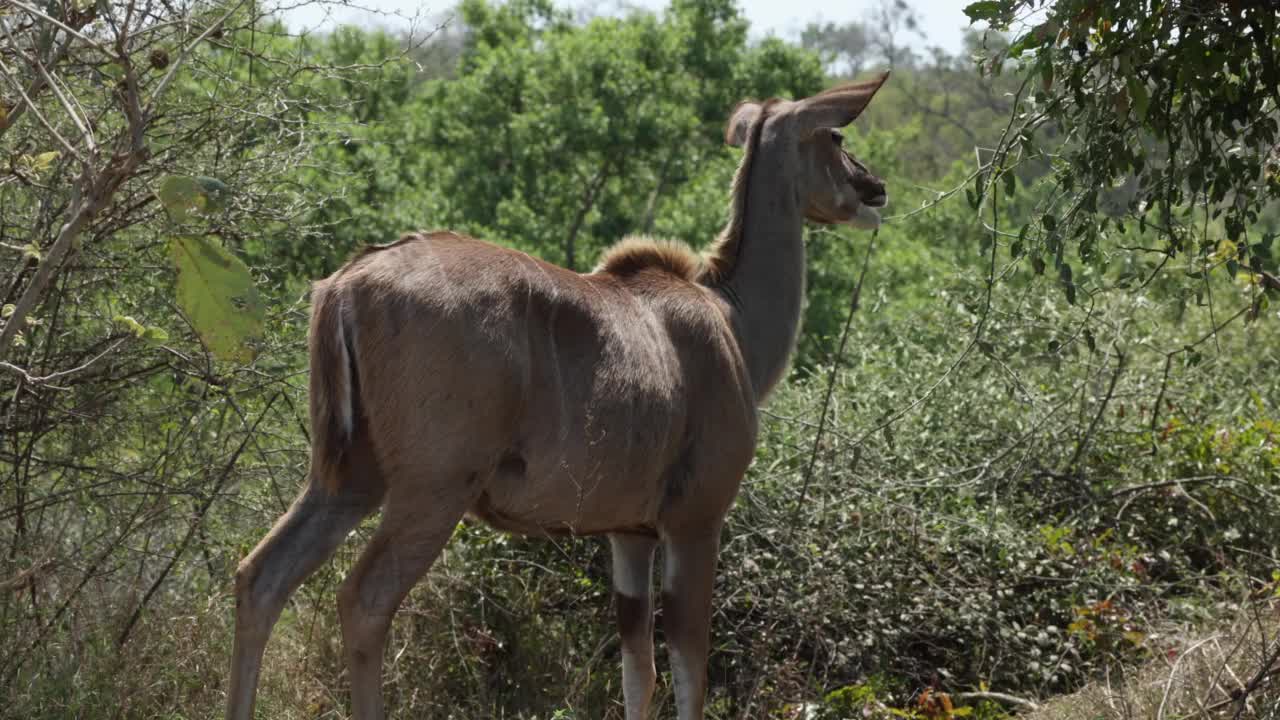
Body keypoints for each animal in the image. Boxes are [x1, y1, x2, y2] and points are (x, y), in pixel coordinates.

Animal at [227, 74, 890, 717]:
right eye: (835, 135)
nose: (875, 189)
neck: (732, 319)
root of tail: (346, 284)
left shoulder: (630, 535)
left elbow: (638, 673)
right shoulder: (696, 520)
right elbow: (688, 673)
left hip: (347, 478)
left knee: (261, 577)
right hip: (432, 488)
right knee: (364, 600)